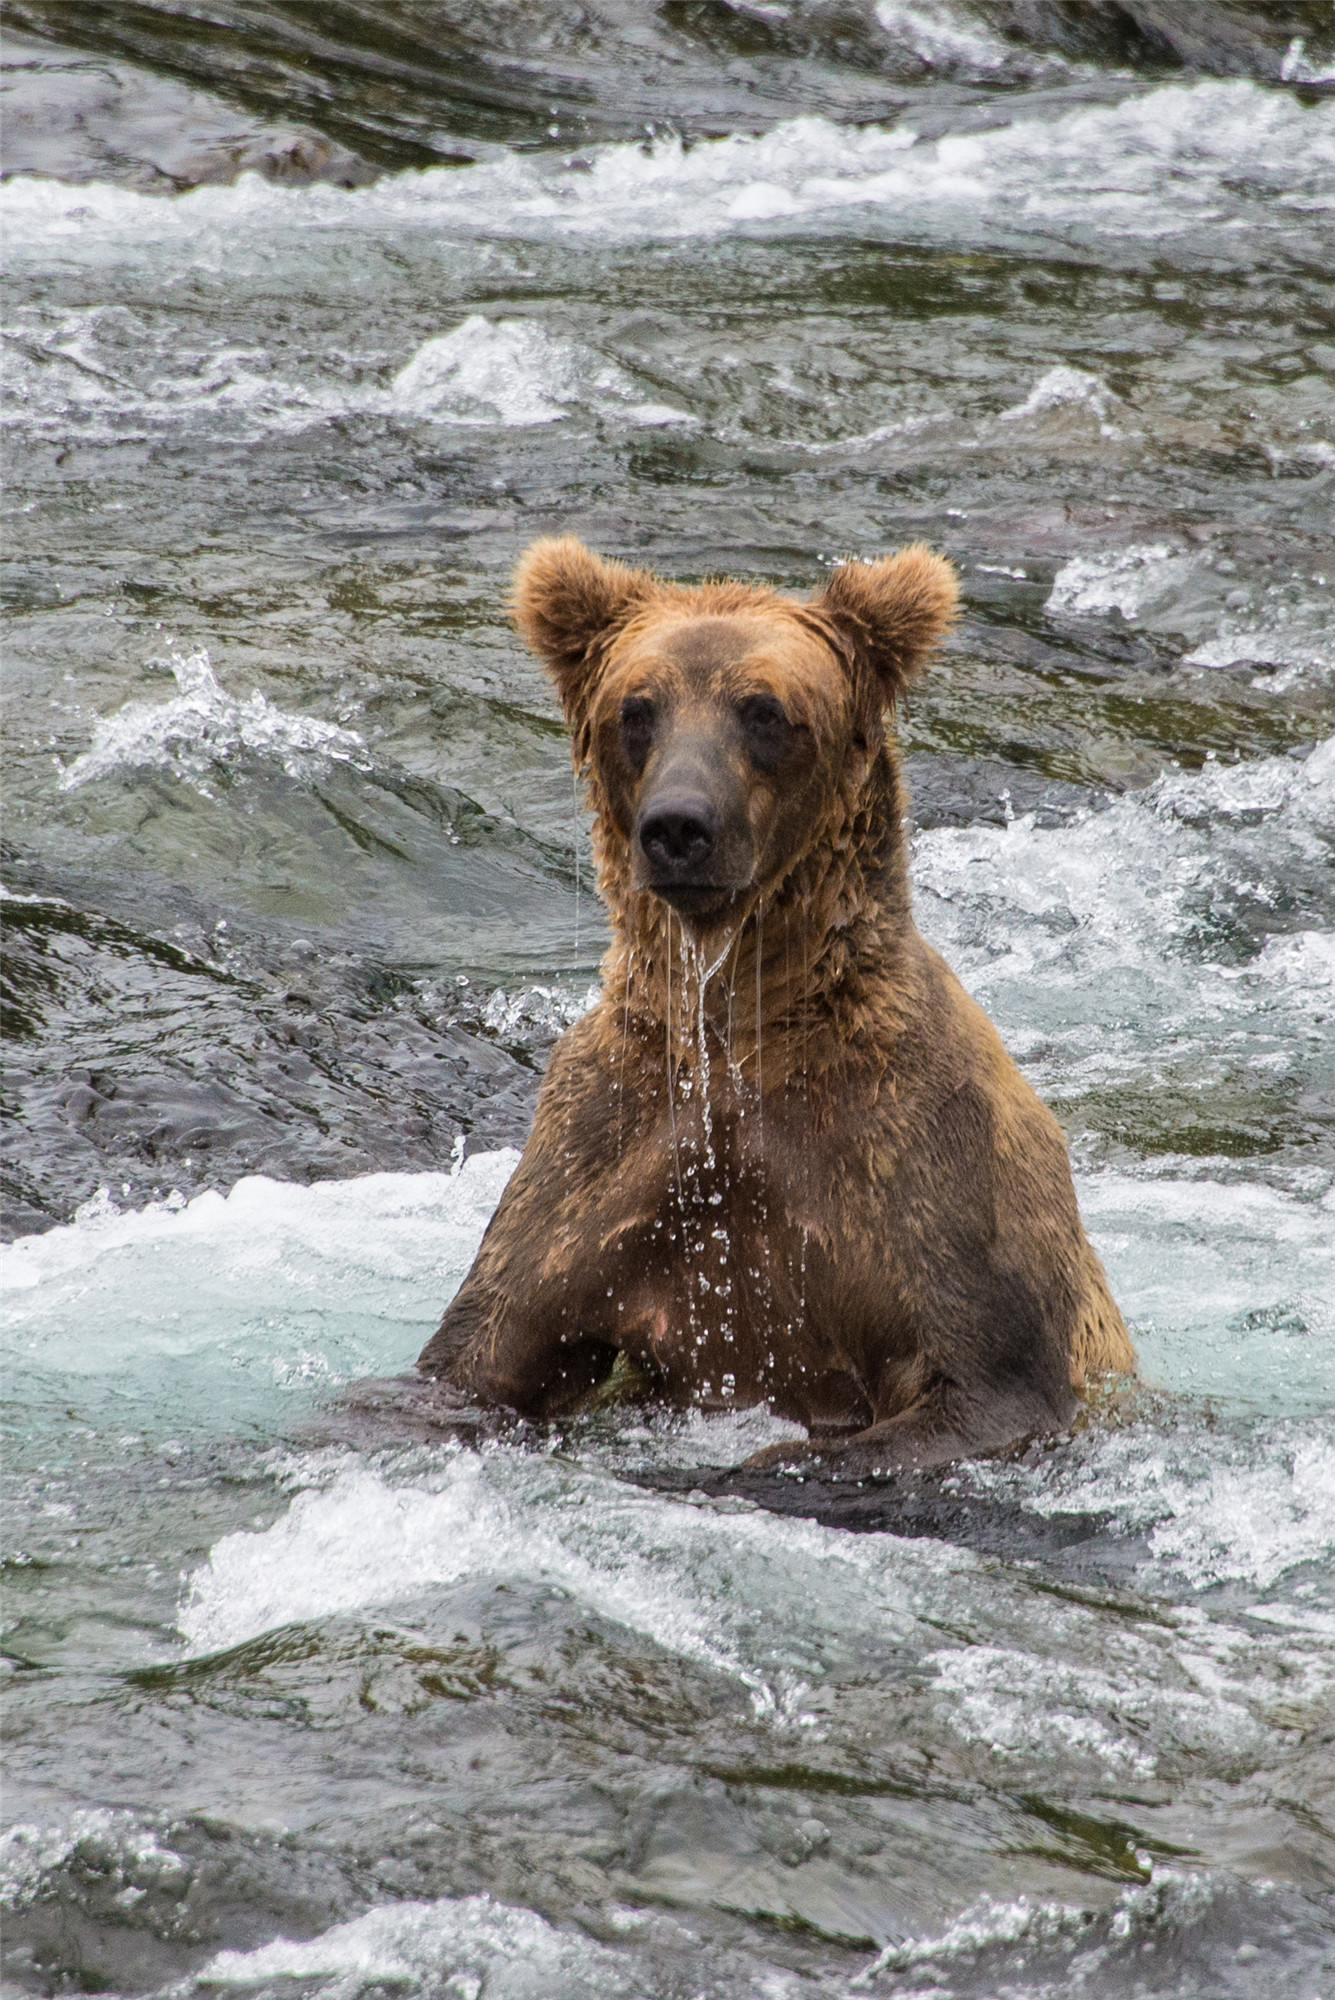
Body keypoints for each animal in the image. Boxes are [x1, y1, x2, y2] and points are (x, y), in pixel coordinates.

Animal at [419, 532, 1135, 1472]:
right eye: (635, 709)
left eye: (763, 710)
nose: (678, 826)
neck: (739, 1031)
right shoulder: (600, 1145)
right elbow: (479, 1354)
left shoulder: (915, 1155)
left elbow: (978, 1379)